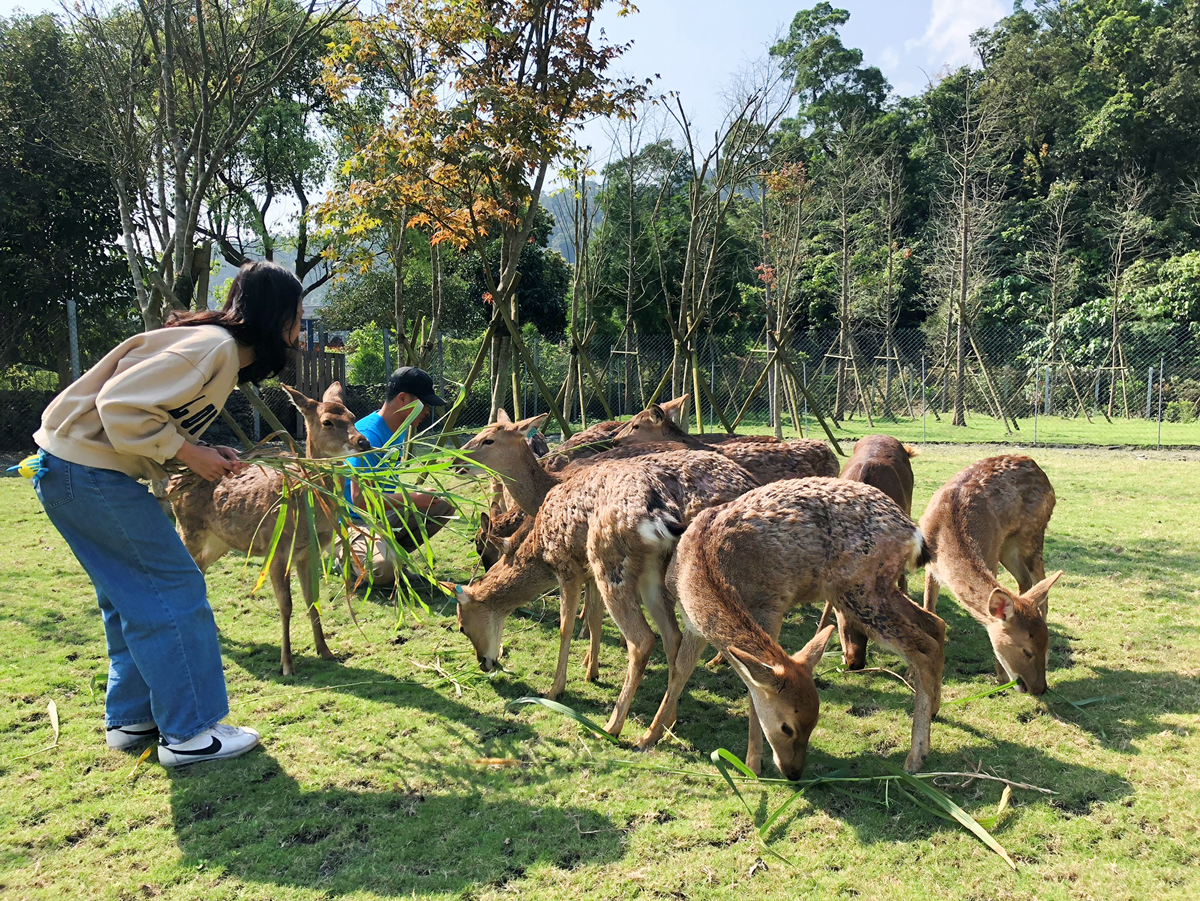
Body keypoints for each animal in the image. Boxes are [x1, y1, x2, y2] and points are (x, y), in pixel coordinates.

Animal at [168, 382, 370, 676]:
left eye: (353, 416)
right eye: (327, 422)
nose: (363, 442)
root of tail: (174, 479)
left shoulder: (310, 553)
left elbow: (313, 600)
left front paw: (326, 652)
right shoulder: (278, 549)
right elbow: (286, 605)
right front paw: (287, 664)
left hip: (221, 540)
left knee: (202, 567)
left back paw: (215, 627)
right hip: (187, 528)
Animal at [447, 450, 759, 736]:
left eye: (461, 626)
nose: (484, 663)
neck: (539, 550)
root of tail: (659, 515)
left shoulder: (568, 569)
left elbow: (566, 627)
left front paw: (555, 690)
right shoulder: (589, 575)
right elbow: (594, 618)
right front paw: (590, 671)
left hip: (610, 564)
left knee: (644, 639)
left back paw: (613, 726)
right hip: (651, 573)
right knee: (673, 635)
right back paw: (666, 722)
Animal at [648, 478, 946, 777]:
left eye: (811, 724)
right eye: (788, 728)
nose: (793, 773)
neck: (700, 566)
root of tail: (913, 533)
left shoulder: (770, 608)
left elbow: (752, 689)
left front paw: (752, 764)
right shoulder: (692, 624)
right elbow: (679, 672)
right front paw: (648, 736)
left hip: (860, 591)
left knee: (923, 647)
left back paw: (916, 756)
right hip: (873, 589)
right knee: (935, 625)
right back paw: (933, 709)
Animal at [919, 454, 1061, 695]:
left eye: (1046, 645)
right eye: (1027, 651)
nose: (1040, 689)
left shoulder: (991, 557)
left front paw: (1001, 678)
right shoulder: (930, 565)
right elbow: (929, 608)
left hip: (1031, 534)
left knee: (1040, 581)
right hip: (1008, 547)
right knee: (1025, 582)